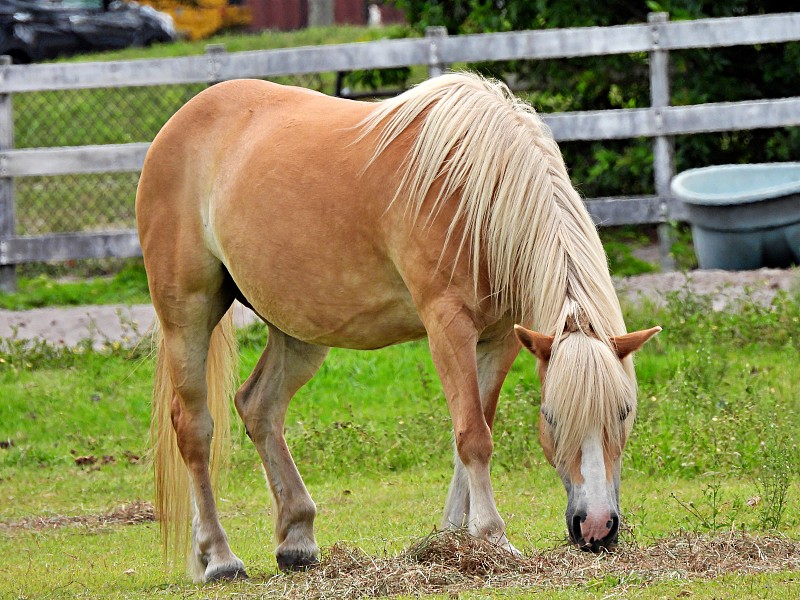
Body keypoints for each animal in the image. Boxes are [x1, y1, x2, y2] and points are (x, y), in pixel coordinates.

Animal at [138, 70, 660, 580]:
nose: (596, 528)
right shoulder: (448, 326)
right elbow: (473, 435)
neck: (477, 189)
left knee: (258, 408)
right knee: (195, 428)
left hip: (298, 333)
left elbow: (473, 427)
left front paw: (452, 539)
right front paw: (492, 537)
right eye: (550, 416)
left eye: (625, 412)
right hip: (188, 314)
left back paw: (297, 541)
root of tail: (178, 125)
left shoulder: (500, 339)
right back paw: (218, 556)